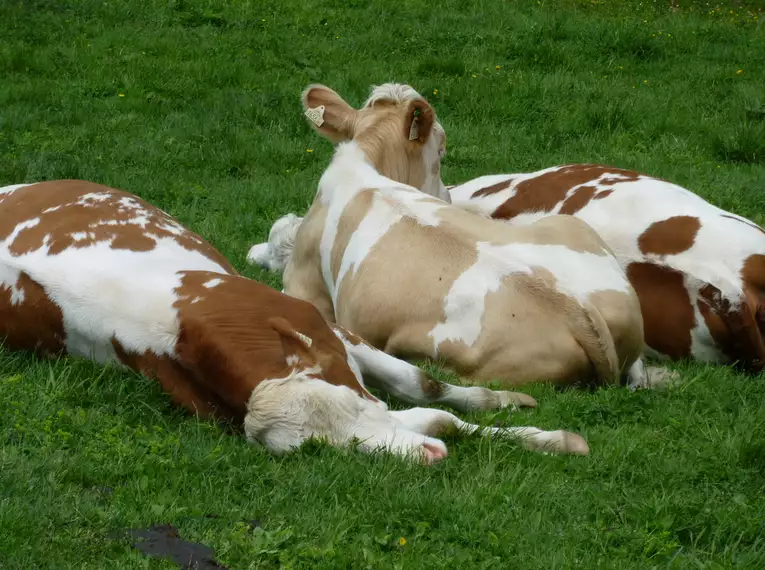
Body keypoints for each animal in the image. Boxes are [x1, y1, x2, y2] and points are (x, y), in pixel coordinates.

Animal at [0, 180, 592, 464]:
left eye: (347, 404)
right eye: (318, 449)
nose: (422, 461)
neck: (184, 330)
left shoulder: (335, 333)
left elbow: (426, 390)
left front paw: (526, 418)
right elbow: (433, 418)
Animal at [248, 82, 672, 388]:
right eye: (442, 154)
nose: (448, 196)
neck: (364, 165)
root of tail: (577, 312)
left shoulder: (302, 287)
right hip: (572, 228)